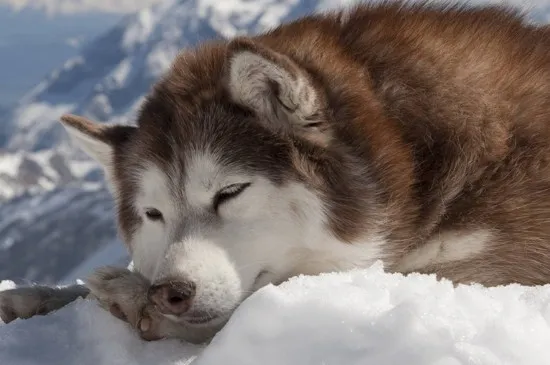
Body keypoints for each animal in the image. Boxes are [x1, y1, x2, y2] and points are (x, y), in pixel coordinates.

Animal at [1, 0, 550, 342]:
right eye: (153, 214)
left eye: (230, 191)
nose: (170, 294)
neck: (413, 159)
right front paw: (33, 297)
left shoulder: (490, 272)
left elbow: (255, 302)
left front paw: (130, 298)